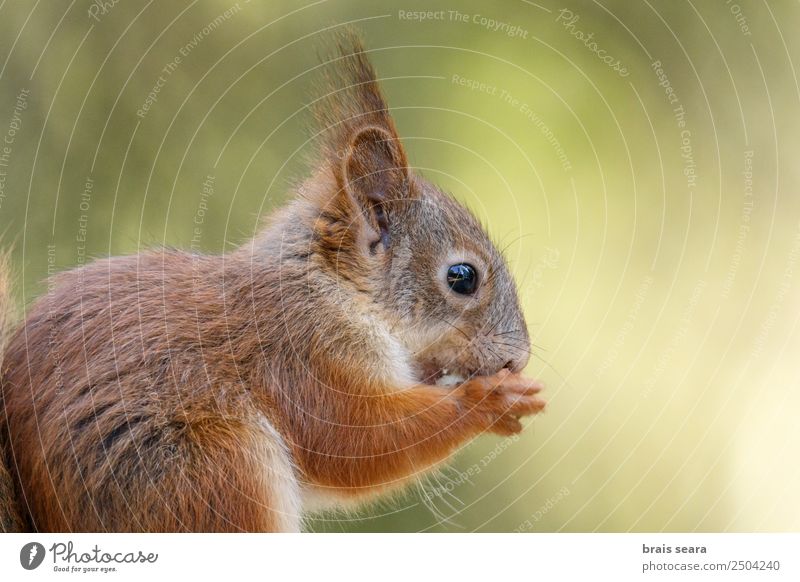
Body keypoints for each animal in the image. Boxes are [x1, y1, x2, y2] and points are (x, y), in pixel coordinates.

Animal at [0, 33, 544, 532]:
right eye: (462, 278)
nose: (518, 358)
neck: (333, 290)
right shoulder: (300, 354)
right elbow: (355, 442)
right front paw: (490, 399)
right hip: (210, 470)